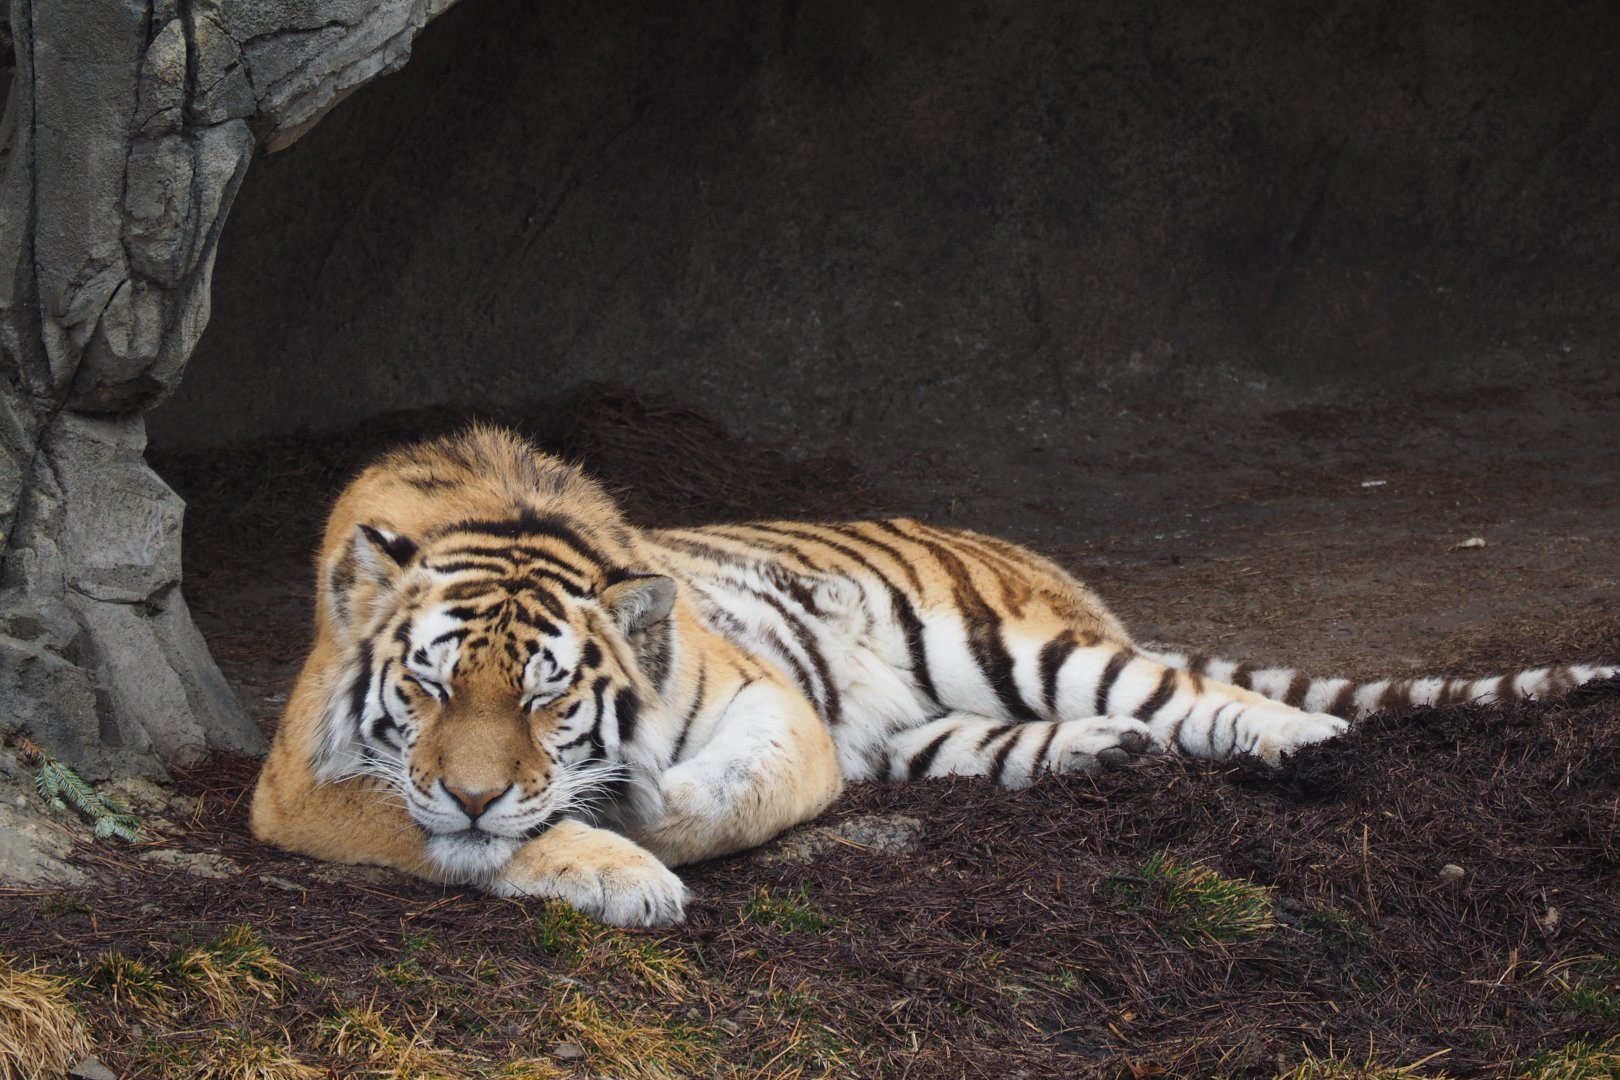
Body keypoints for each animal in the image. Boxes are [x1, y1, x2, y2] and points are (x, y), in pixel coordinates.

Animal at [249, 426, 1616, 926]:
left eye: (543, 695)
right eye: (429, 689)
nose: (478, 792)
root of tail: (1041, 564)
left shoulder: (774, 705)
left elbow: (732, 791)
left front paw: (637, 823)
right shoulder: (301, 785)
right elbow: (420, 824)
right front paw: (602, 864)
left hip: (1013, 646)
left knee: (1191, 695)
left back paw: (1305, 745)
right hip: (938, 730)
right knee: (1075, 735)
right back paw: (1103, 759)